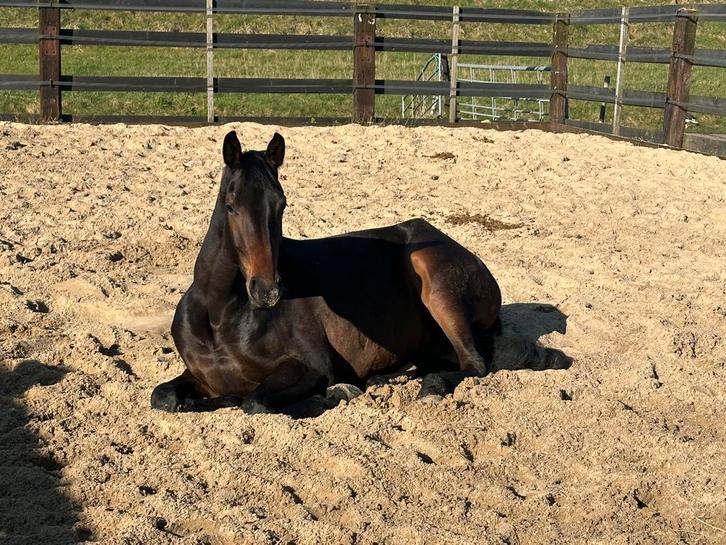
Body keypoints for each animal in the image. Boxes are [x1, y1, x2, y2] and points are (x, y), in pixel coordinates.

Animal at [151, 131, 571, 414]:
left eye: (281, 204)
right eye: (231, 203)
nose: (267, 291)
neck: (221, 315)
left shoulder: (310, 366)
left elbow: (253, 401)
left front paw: (337, 392)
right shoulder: (197, 376)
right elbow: (165, 396)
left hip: (437, 286)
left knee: (473, 363)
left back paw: (425, 383)